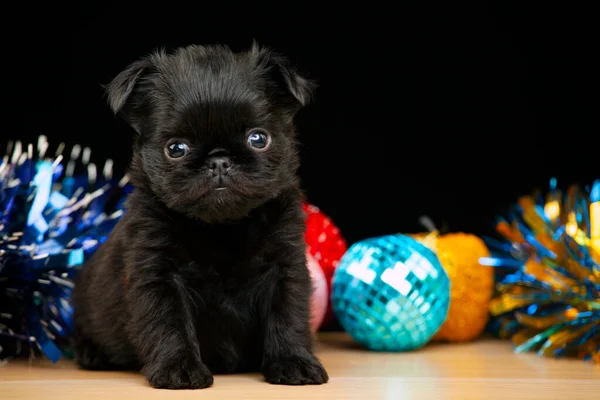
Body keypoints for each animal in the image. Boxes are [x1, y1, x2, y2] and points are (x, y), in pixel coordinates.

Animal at [72, 42, 330, 390]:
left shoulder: (285, 269)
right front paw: (179, 368)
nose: (219, 160)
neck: (222, 229)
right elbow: (169, 323)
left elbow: (288, 315)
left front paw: (293, 361)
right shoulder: (159, 277)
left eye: (258, 139)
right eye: (176, 148)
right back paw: (92, 353)